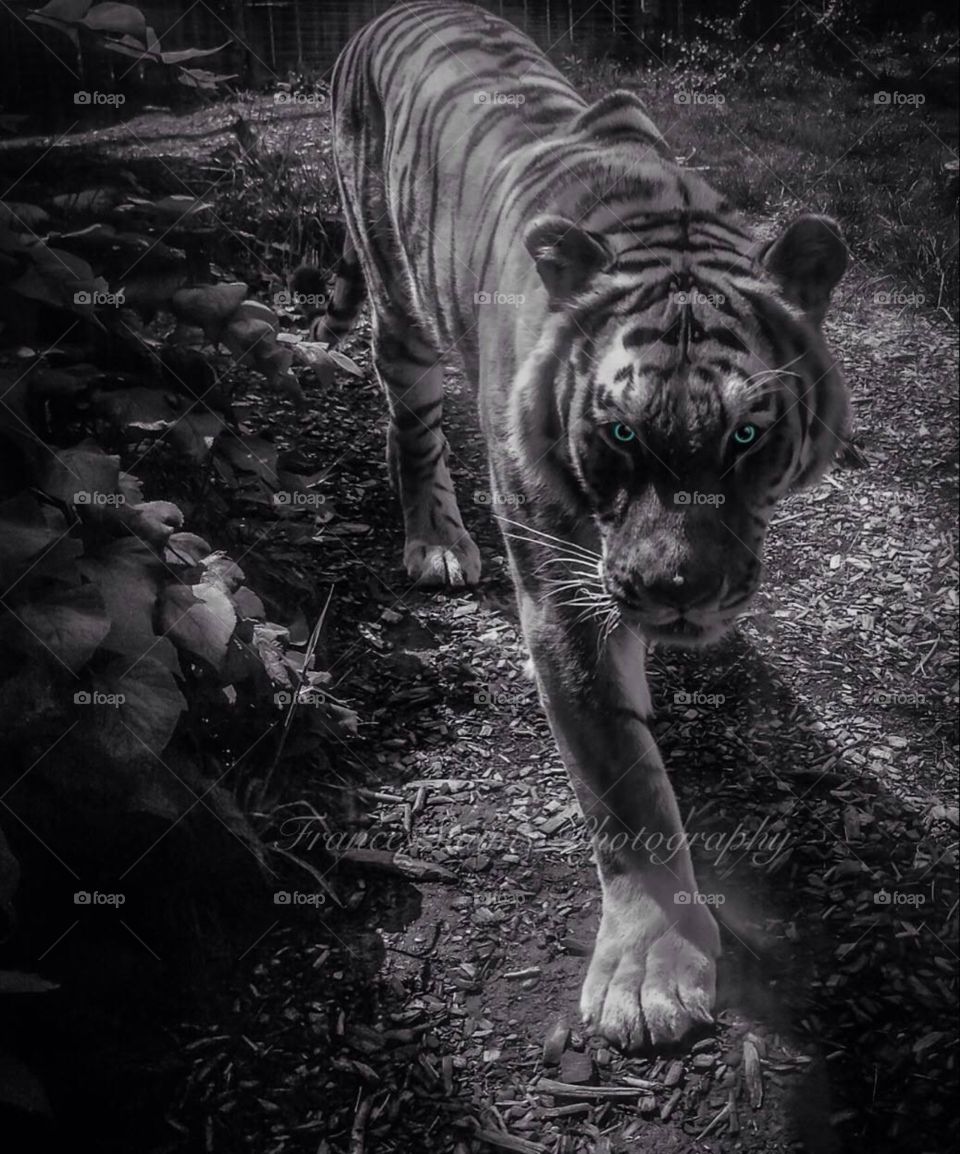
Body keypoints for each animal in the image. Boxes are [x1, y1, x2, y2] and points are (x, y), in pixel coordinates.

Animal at [303, 0, 848, 1050]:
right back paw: (436, 541)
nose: (677, 593)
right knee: (410, 429)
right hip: (399, 307)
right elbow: (622, 775)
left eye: (747, 434)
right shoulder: (563, 587)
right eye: (623, 430)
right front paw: (649, 975)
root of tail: (383, 16)